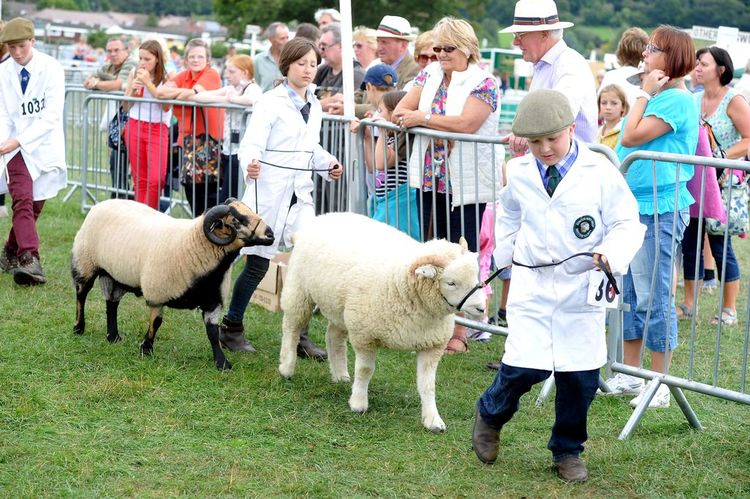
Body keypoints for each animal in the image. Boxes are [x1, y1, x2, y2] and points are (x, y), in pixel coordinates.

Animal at [70, 199, 274, 372]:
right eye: (236, 221)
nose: (270, 234)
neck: (194, 245)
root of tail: (102, 203)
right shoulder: (157, 294)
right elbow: (156, 323)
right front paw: (146, 349)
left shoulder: (213, 301)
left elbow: (213, 333)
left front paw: (222, 363)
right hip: (85, 262)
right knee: (81, 294)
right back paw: (79, 328)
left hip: (115, 274)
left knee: (112, 302)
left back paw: (113, 337)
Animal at [280, 213, 484, 432]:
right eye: (451, 282)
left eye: (475, 276)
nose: (481, 308)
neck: (400, 282)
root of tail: (324, 216)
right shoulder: (364, 336)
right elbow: (365, 370)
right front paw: (358, 403)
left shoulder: (433, 345)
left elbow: (428, 385)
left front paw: (433, 420)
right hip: (299, 290)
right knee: (291, 327)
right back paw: (286, 367)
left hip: (340, 307)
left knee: (333, 336)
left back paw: (340, 375)